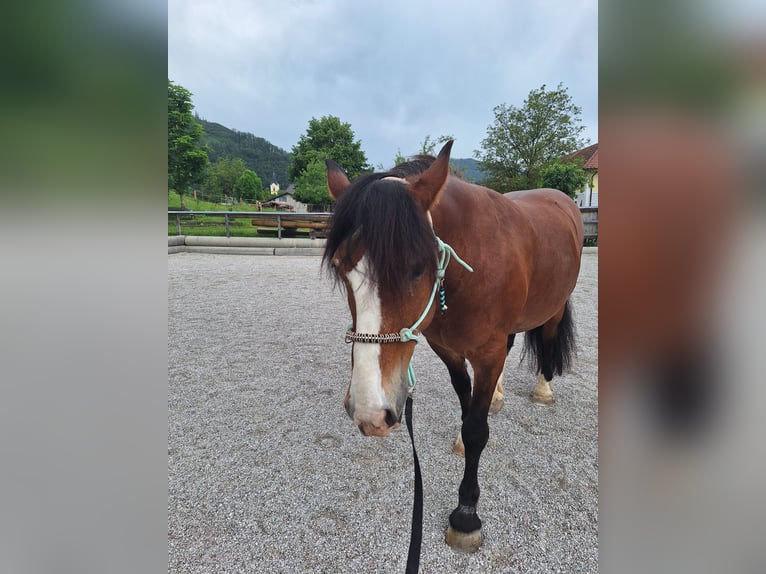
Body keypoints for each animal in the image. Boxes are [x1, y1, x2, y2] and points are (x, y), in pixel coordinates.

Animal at [322, 140, 584, 552]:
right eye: (340, 267)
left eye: (417, 268)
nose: (370, 413)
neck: (470, 267)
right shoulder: (447, 349)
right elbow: (466, 404)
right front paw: (471, 421)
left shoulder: (488, 354)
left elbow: (477, 430)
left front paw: (465, 514)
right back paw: (497, 396)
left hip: (554, 309)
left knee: (548, 339)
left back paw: (542, 389)